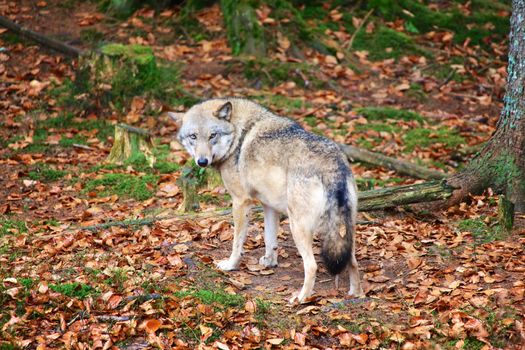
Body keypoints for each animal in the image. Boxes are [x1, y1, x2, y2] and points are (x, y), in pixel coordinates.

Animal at [170, 97, 362, 302]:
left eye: (212, 135)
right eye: (193, 137)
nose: (202, 161)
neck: (238, 135)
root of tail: (333, 165)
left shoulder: (241, 202)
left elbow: (237, 243)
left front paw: (231, 265)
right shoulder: (269, 206)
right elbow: (270, 239)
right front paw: (270, 263)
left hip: (298, 226)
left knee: (312, 266)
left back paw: (300, 299)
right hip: (345, 230)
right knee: (352, 262)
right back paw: (356, 295)